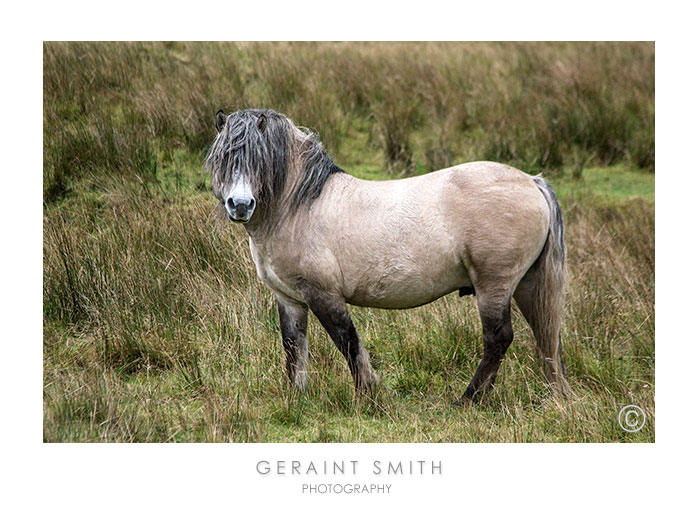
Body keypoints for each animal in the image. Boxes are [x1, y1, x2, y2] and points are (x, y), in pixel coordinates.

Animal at [204, 108, 568, 404]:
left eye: (257, 159)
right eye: (223, 158)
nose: (240, 205)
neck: (300, 206)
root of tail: (532, 181)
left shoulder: (323, 294)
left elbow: (348, 341)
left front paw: (368, 393)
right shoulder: (290, 299)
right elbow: (294, 347)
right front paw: (297, 398)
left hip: (494, 286)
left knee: (499, 339)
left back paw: (468, 399)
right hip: (527, 284)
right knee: (545, 334)